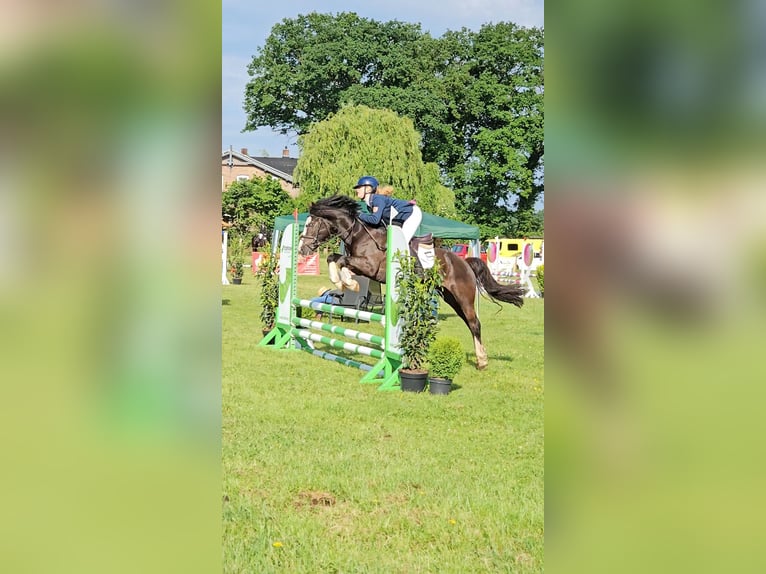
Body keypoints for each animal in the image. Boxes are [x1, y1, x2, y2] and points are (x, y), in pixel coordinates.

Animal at [297, 195, 525, 369]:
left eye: (312, 224)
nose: (302, 250)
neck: (360, 233)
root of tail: (464, 262)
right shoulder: (359, 264)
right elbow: (334, 258)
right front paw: (342, 281)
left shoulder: (370, 266)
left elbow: (342, 260)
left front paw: (348, 283)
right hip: (451, 298)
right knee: (469, 323)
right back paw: (480, 358)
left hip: (463, 296)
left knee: (475, 323)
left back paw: (482, 361)